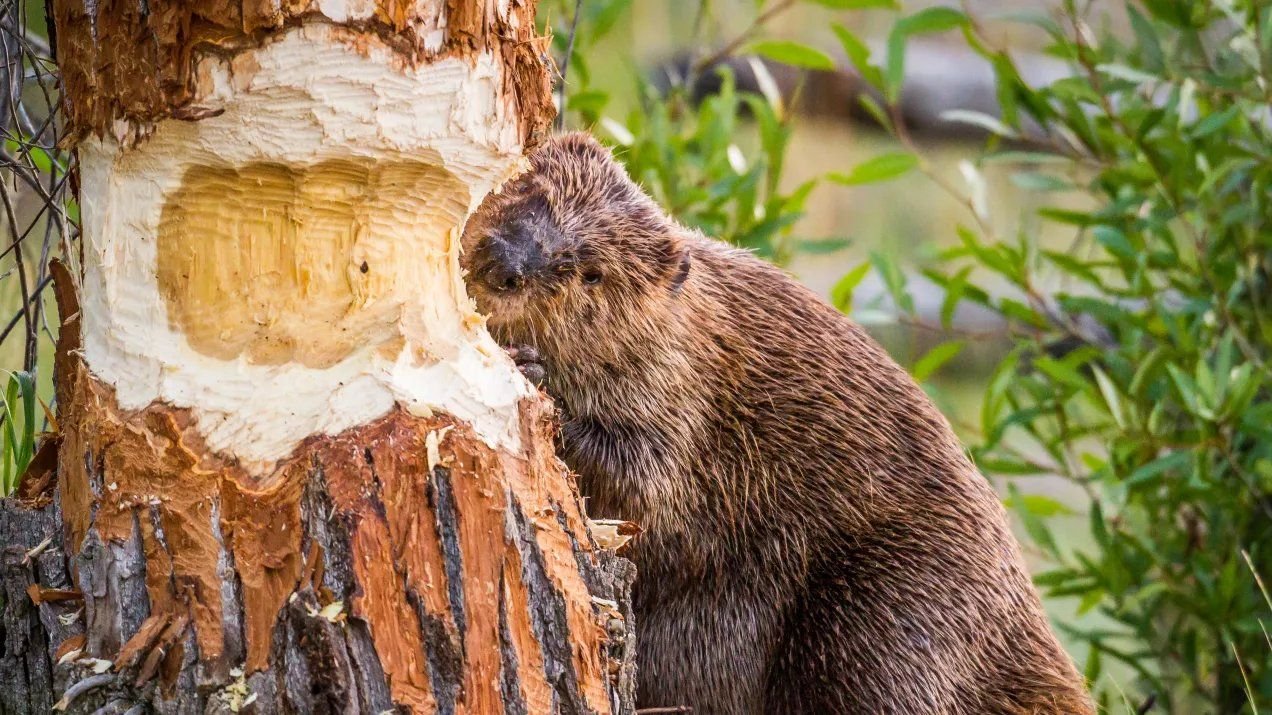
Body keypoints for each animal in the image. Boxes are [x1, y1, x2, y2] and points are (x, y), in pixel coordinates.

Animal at [460, 133, 1093, 712]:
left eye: (591, 272)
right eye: (532, 191)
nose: (507, 263)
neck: (691, 323)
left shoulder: (682, 390)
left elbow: (649, 486)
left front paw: (535, 375)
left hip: (893, 609)